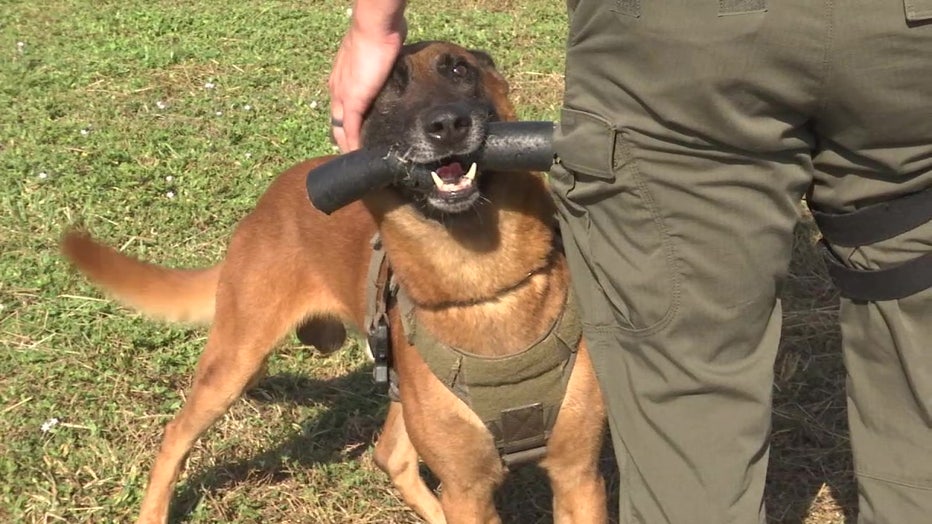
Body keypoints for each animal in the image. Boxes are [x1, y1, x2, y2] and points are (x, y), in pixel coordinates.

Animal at [62, 42, 608, 524]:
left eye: (459, 69)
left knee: (390, 455)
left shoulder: (577, 476)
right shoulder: (466, 488)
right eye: (385, 90)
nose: (448, 125)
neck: (484, 286)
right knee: (176, 433)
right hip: (236, 361)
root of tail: (265, 204)